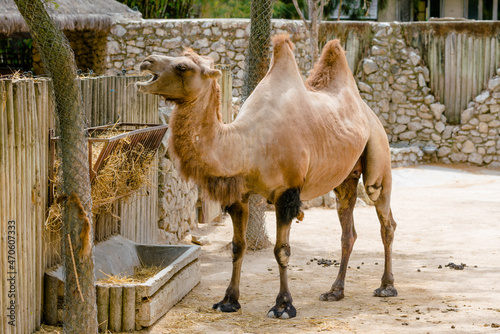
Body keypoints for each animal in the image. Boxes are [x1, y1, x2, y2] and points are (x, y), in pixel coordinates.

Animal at [138, 35, 398, 320]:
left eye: (182, 67)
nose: (146, 61)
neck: (248, 143)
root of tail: (370, 113)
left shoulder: (287, 193)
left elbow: (281, 251)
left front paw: (283, 306)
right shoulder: (239, 195)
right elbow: (237, 246)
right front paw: (228, 301)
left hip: (378, 155)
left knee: (385, 217)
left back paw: (386, 287)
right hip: (345, 178)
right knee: (347, 230)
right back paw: (334, 291)